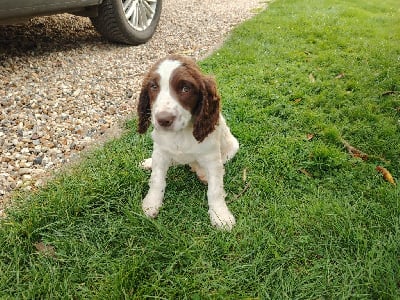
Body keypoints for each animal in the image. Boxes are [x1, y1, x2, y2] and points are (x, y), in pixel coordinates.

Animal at [138, 55, 238, 231]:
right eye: (153, 86)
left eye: (186, 88)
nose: (163, 120)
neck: (180, 134)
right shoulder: (161, 151)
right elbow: (156, 179)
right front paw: (151, 204)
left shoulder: (212, 158)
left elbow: (215, 190)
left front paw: (220, 215)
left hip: (231, 149)